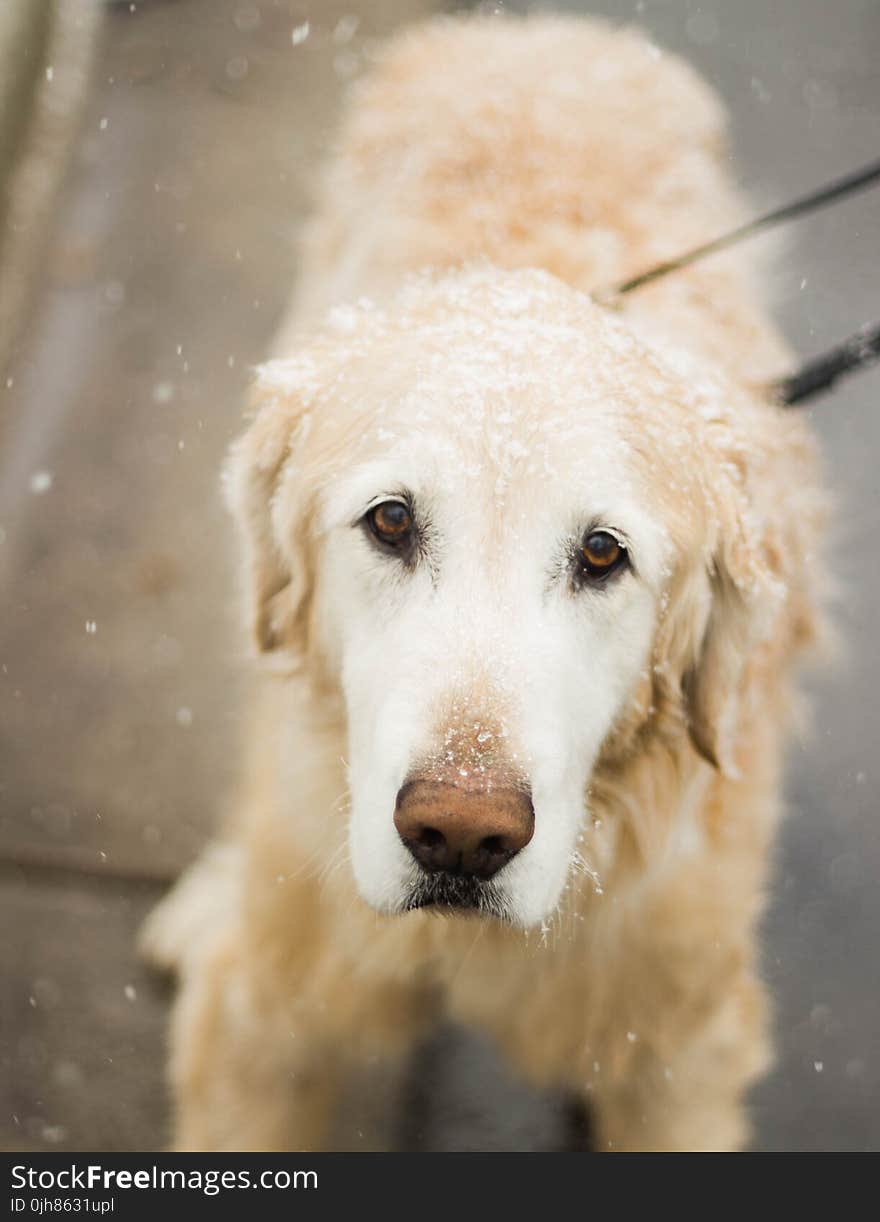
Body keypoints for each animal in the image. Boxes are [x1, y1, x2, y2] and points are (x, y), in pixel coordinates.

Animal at [142, 14, 826, 1148]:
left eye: (603, 554)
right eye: (391, 520)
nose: (460, 835)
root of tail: (543, 27)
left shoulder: (676, 1055)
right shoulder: (265, 1025)